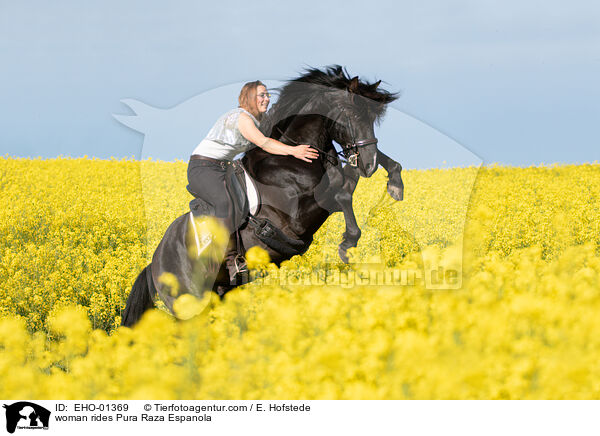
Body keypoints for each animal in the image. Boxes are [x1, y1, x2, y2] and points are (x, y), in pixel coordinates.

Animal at [120, 65, 404, 328]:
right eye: (353, 114)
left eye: (373, 118)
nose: (369, 164)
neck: (291, 157)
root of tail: (154, 263)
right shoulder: (299, 217)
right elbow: (343, 193)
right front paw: (348, 245)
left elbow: (353, 178)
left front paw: (395, 184)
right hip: (189, 301)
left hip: (218, 293)